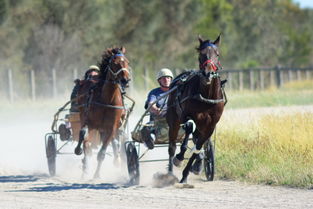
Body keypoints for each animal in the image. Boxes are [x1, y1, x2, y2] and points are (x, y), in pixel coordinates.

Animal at [73, 47, 130, 178]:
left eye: (127, 62)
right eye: (115, 63)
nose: (125, 80)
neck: (107, 99)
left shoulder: (111, 128)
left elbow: (102, 152)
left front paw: (97, 175)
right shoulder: (89, 121)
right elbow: (83, 134)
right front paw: (79, 151)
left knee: (113, 141)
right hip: (84, 115)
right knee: (86, 141)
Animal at [166, 34, 224, 183]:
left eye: (217, 54)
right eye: (201, 54)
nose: (208, 73)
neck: (207, 97)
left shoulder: (210, 125)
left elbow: (198, 146)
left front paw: (186, 174)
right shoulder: (185, 115)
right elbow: (188, 128)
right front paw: (180, 157)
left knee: (196, 138)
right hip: (173, 119)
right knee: (172, 145)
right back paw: (170, 172)